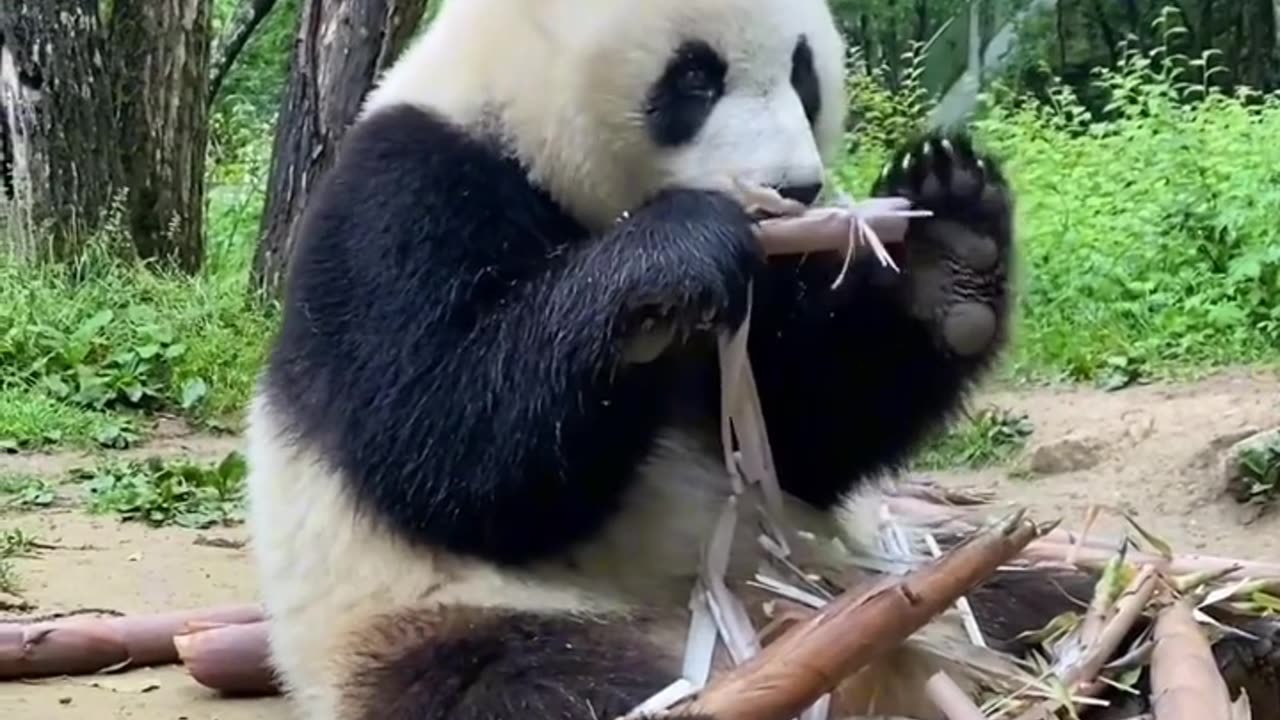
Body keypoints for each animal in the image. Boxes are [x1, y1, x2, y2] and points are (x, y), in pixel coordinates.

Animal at [238, 1, 1090, 717]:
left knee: (1037, 595)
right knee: (541, 687)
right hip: (442, 625)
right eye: (694, 77)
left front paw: (948, 241)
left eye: (803, 72)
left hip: (866, 581)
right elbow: (446, 451)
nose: (794, 189)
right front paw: (673, 258)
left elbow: (804, 433)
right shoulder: (409, 189)